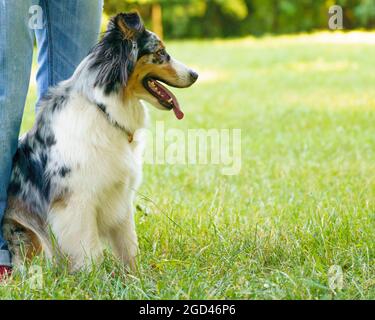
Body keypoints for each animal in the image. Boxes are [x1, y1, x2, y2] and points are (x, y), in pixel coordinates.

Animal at [2, 11, 200, 270]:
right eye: (159, 53)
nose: (196, 74)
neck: (104, 108)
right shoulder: (76, 202)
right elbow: (90, 251)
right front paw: (94, 276)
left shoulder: (120, 195)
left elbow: (128, 245)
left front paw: (135, 276)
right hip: (26, 232)